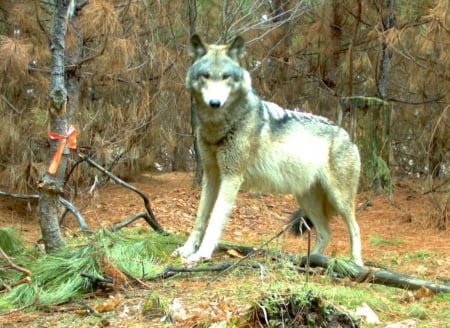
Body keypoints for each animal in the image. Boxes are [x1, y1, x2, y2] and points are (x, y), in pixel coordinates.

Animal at [174, 34, 364, 266]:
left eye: (226, 77)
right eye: (206, 76)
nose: (215, 103)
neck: (218, 127)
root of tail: (348, 136)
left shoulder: (231, 177)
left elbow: (215, 219)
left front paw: (201, 254)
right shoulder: (211, 176)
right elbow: (200, 218)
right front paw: (186, 250)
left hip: (339, 198)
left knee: (355, 228)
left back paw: (356, 264)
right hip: (307, 201)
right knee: (325, 233)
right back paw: (308, 261)